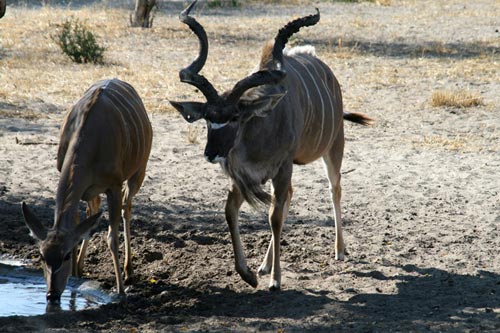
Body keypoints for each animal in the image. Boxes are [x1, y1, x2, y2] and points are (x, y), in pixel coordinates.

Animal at [21, 78, 153, 300]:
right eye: (41, 255)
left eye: (65, 256)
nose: (52, 294)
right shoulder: (83, 186)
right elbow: (79, 226)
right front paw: (75, 276)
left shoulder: (114, 185)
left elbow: (111, 238)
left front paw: (120, 291)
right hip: (93, 190)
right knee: (93, 211)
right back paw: (83, 268)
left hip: (138, 171)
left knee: (127, 207)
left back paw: (128, 273)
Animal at [171, 1, 372, 290]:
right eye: (208, 118)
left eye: (235, 117)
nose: (211, 153)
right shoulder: (244, 177)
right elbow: (231, 211)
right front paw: (248, 273)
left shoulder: (282, 167)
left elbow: (274, 218)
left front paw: (276, 280)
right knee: (290, 196)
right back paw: (265, 265)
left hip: (334, 147)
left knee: (334, 189)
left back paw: (340, 250)